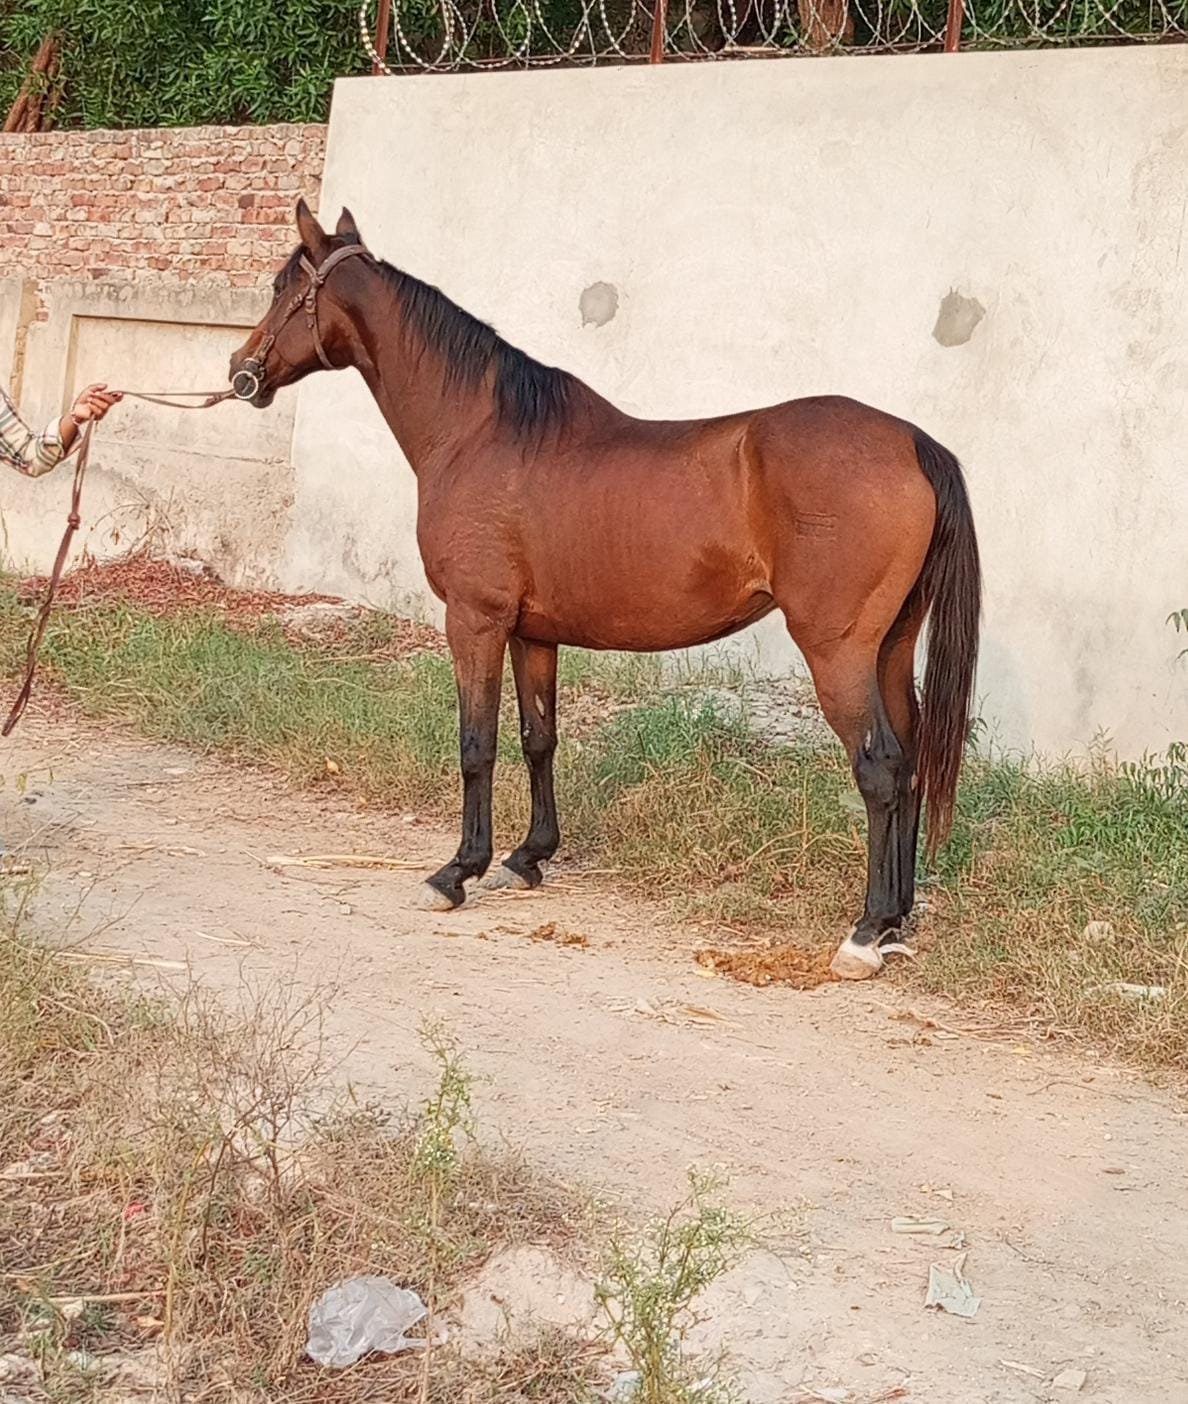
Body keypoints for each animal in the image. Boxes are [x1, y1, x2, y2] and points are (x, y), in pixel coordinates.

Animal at [230, 201, 981, 981]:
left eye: (284, 289)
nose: (240, 372)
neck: (479, 432)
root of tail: (912, 443)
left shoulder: (474, 621)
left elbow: (476, 745)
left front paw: (458, 871)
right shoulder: (533, 632)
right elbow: (538, 739)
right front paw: (527, 857)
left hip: (837, 652)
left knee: (881, 769)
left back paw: (864, 933)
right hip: (890, 647)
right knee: (911, 762)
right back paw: (896, 919)